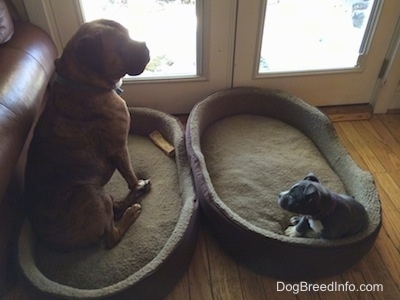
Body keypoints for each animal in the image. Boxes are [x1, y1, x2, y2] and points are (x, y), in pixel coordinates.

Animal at [24, 19, 152, 251]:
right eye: (121, 48)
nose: (145, 46)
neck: (83, 83)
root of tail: (49, 239)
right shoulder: (120, 149)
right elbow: (129, 175)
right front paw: (137, 184)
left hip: (99, 193)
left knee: (113, 208)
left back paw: (124, 203)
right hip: (92, 194)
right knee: (111, 238)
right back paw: (131, 211)